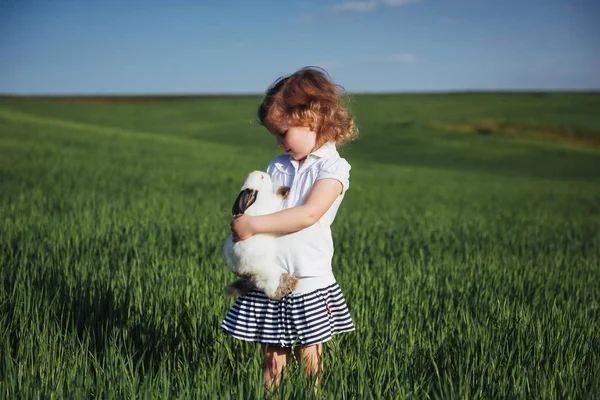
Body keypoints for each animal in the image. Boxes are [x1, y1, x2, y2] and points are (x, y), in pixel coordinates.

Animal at [223, 171, 300, 300]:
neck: (258, 196)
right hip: (271, 273)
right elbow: (276, 198)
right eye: (262, 177)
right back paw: (290, 283)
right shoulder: (270, 205)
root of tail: (248, 275)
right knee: (271, 292)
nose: (266, 174)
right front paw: (284, 190)